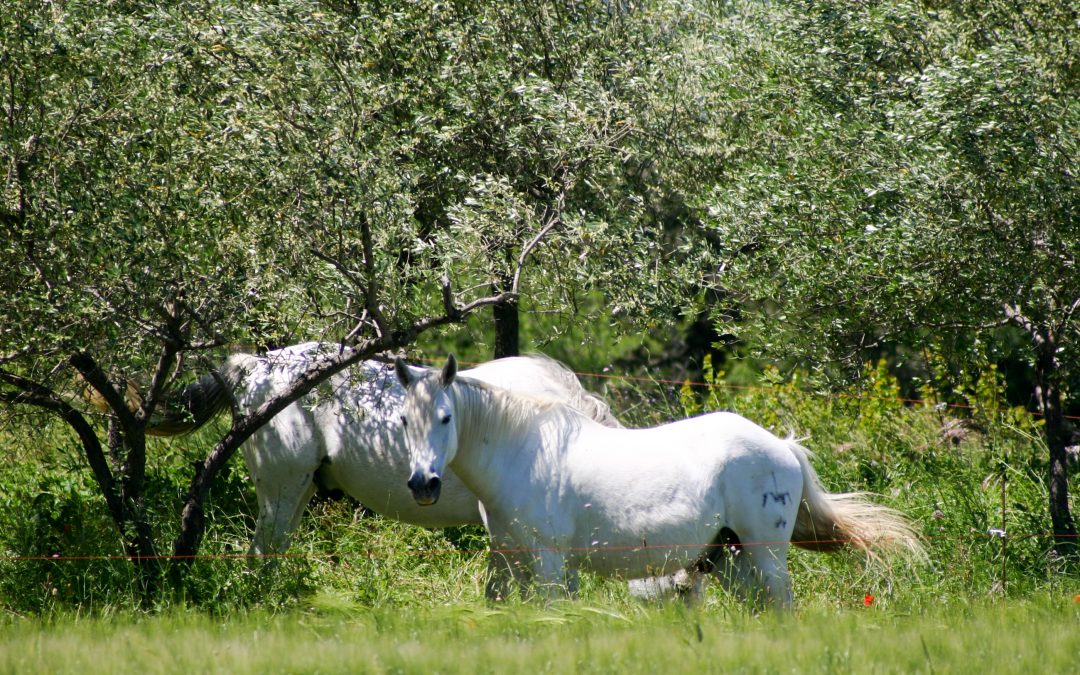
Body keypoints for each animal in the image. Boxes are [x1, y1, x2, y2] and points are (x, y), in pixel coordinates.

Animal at [393, 356, 924, 609]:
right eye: (402, 419)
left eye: (445, 418)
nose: (423, 485)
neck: (522, 452)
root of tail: (781, 446)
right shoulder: (509, 559)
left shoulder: (549, 561)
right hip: (729, 559)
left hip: (765, 553)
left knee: (781, 603)